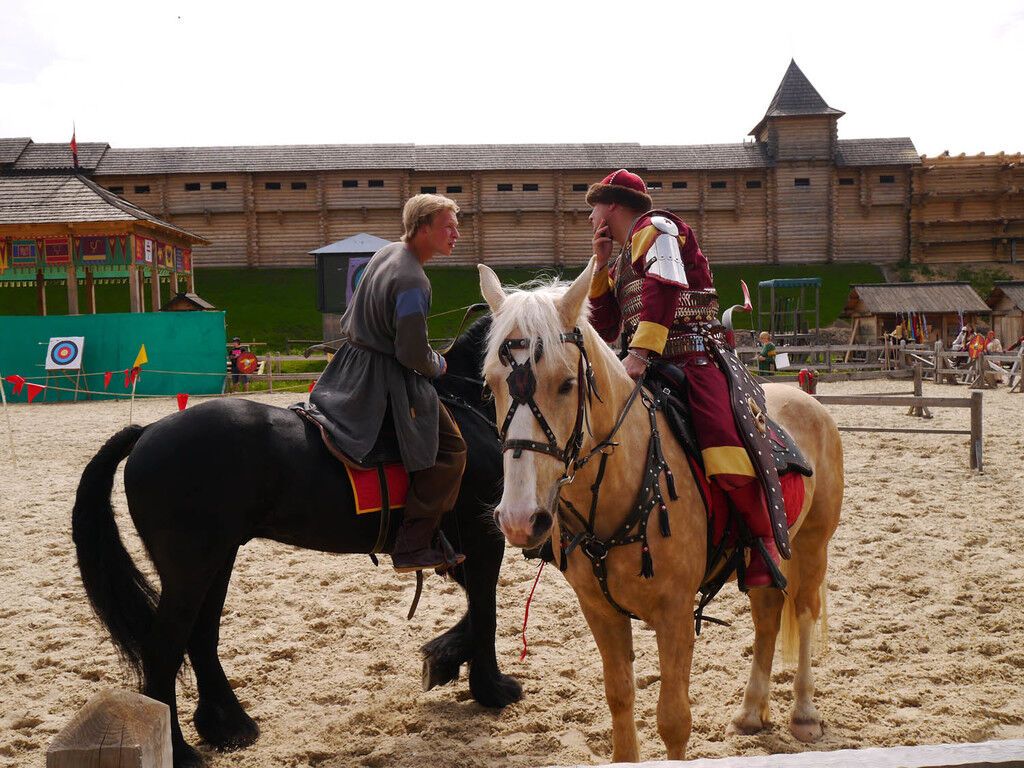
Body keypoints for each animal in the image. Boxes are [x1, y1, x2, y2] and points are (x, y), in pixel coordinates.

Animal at [72, 317, 520, 768]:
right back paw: (179, 750)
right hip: (191, 570)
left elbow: (475, 609)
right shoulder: (483, 541)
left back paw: (228, 726)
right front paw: (491, 689)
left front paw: (443, 658)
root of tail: (148, 431)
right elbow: (487, 610)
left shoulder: (457, 552)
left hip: (216, 561)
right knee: (164, 646)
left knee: (201, 637)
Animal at [477, 264, 839, 765]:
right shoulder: (599, 612)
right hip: (765, 559)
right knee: (767, 616)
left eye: (566, 383)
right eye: (490, 383)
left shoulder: (675, 614)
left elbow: (673, 719)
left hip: (811, 545)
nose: (518, 518)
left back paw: (803, 713)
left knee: (803, 613)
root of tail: (806, 398)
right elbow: (619, 696)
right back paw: (751, 712)